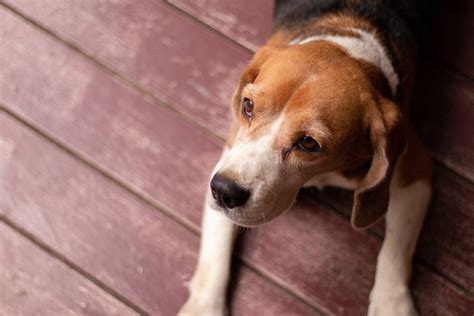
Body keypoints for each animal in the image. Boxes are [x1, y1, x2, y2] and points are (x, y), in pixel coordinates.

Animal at [181, 1, 434, 314]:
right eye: (248, 105)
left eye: (308, 143)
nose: (223, 191)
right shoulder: (228, 155)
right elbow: (215, 251)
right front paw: (203, 306)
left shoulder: (416, 173)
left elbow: (395, 249)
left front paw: (391, 305)